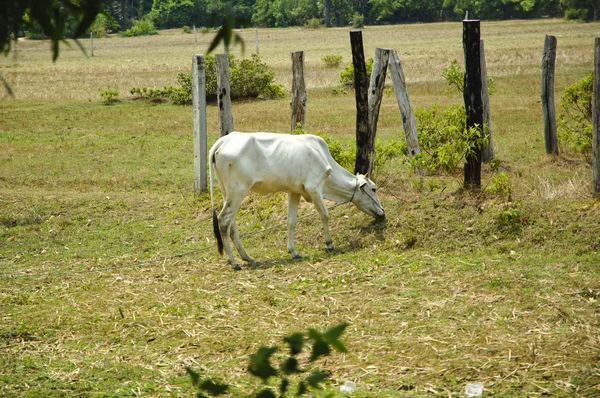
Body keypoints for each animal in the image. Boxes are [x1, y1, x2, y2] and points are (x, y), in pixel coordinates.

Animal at [209, 132, 384, 268]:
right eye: (373, 189)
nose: (382, 212)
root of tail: (223, 140)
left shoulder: (294, 191)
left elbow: (291, 221)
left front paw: (293, 251)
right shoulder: (314, 188)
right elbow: (325, 214)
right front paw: (329, 244)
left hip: (228, 193)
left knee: (231, 224)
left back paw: (247, 257)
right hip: (238, 190)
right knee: (224, 220)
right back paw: (233, 262)